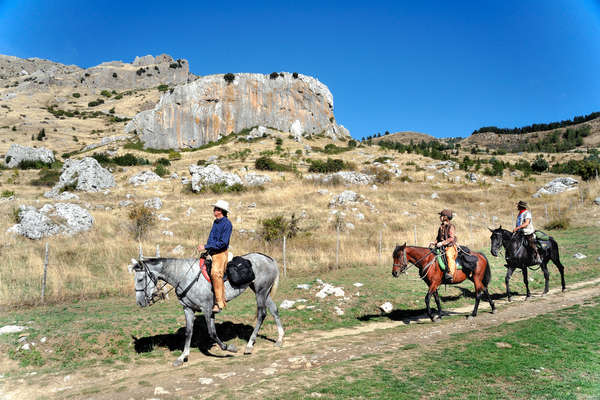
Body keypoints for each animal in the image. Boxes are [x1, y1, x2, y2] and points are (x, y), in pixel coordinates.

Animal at [127, 255, 286, 368]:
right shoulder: (188, 309)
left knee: (261, 314)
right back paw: (279, 339)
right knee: (274, 310)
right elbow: (189, 333)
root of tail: (269, 259)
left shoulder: (207, 309)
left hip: (260, 292)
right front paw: (182, 357)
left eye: (140, 279)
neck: (185, 276)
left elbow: (212, 333)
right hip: (263, 292)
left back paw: (249, 345)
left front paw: (229, 348)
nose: (140, 302)